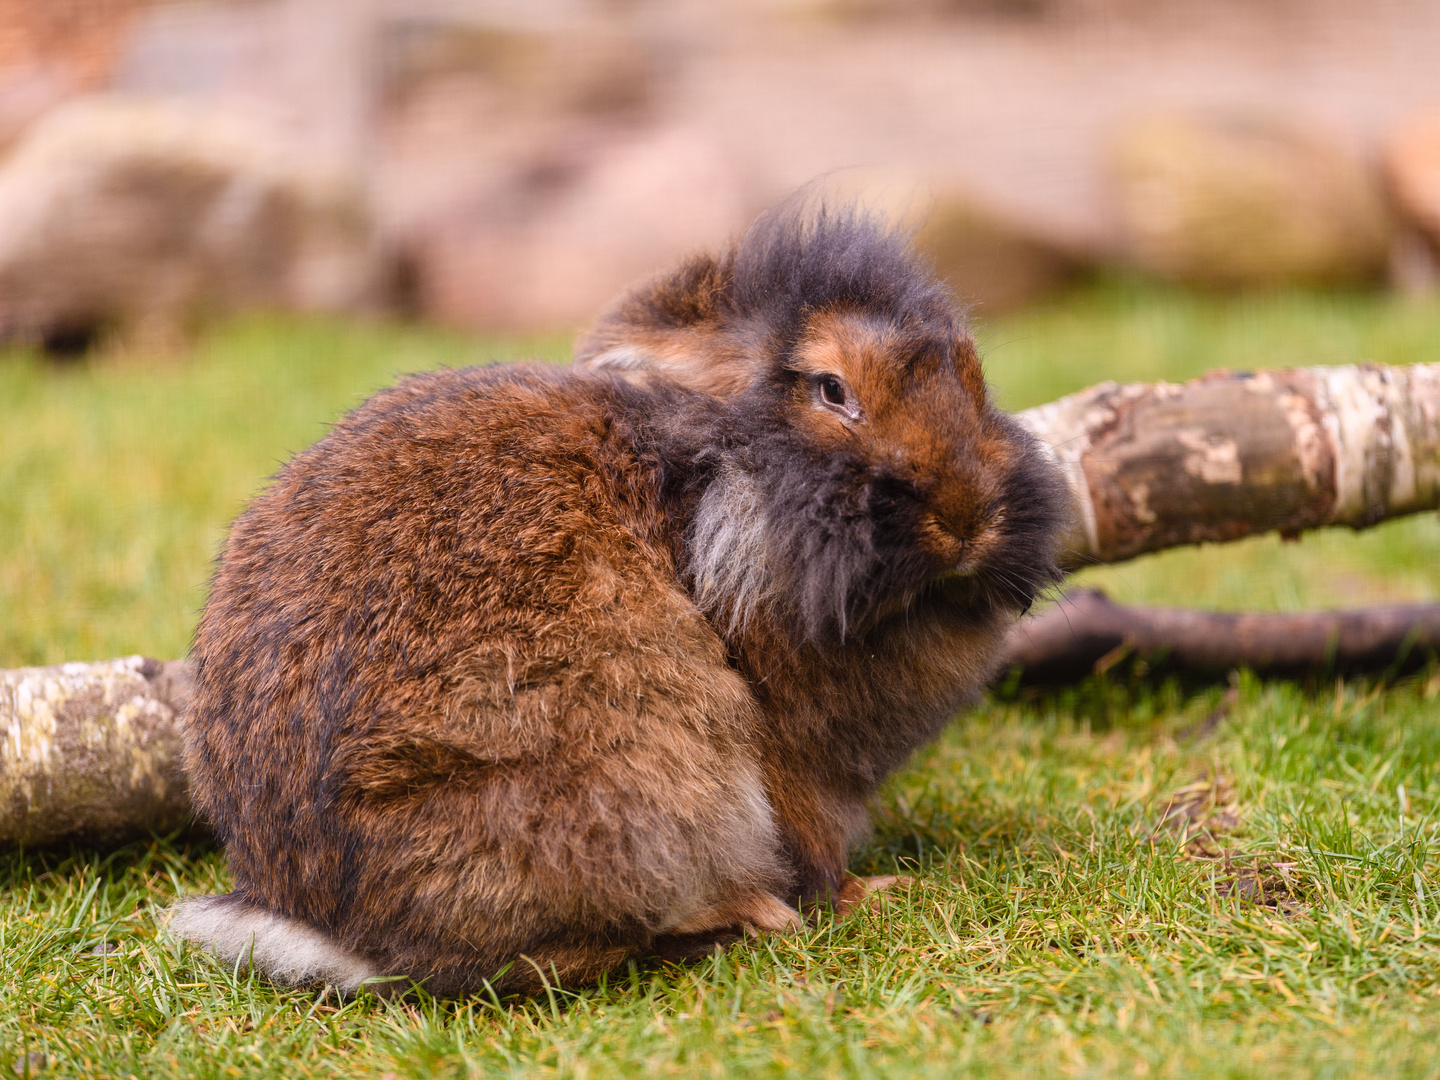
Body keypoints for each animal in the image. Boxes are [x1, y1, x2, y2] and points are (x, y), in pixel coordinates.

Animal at [171, 201, 1071, 996]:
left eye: (975, 381)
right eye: (831, 391)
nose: (968, 517)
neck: (724, 486)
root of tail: (342, 935)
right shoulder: (787, 758)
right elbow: (814, 846)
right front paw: (868, 895)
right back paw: (747, 917)